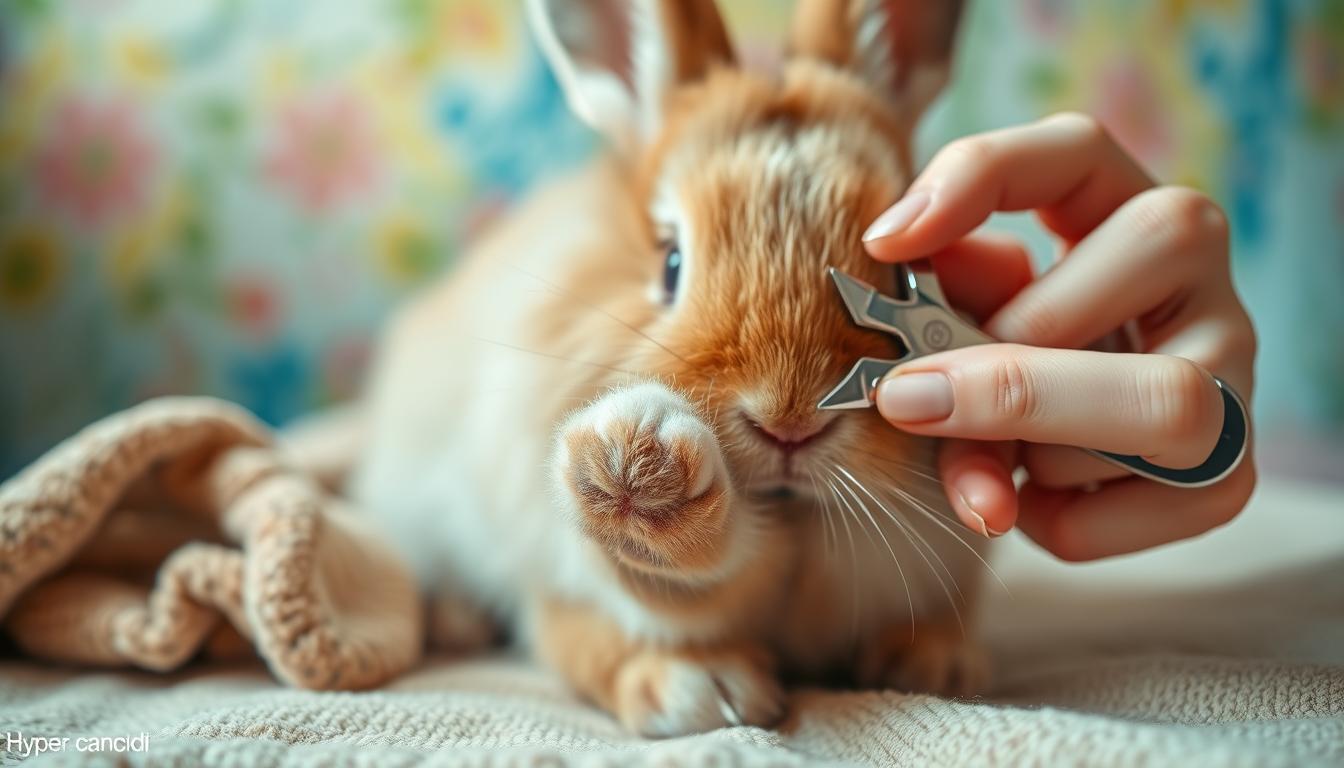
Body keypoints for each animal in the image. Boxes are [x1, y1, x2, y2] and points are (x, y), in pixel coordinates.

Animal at [352, 0, 994, 737]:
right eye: (670, 264)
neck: (793, 518)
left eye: (896, 270)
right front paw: (705, 689)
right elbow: (661, 588)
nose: (789, 424)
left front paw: (936, 665)